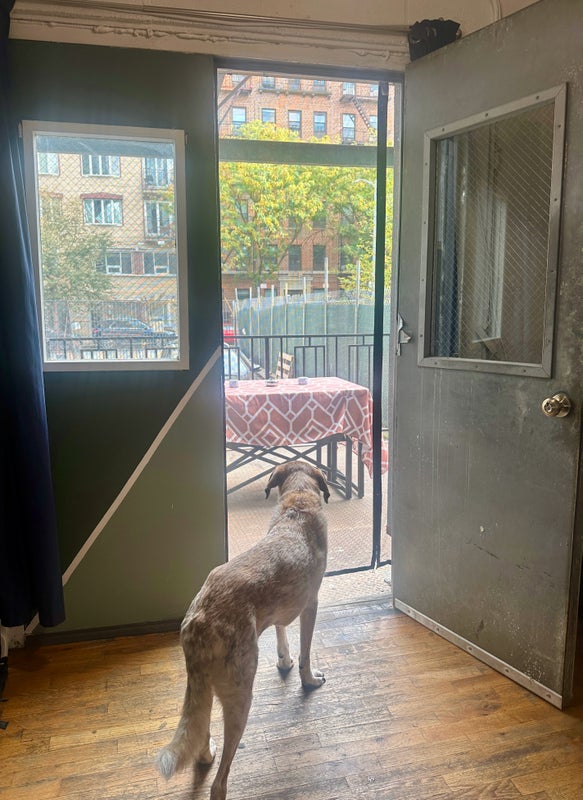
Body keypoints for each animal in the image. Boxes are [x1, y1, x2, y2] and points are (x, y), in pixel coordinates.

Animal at [156, 460, 330, 800]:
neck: (299, 500)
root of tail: (199, 621)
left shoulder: (280, 610)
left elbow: (281, 632)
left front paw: (284, 661)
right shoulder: (311, 604)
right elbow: (305, 652)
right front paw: (309, 680)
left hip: (204, 687)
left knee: (200, 735)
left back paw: (206, 752)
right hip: (240, 695)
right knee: (218, 783)